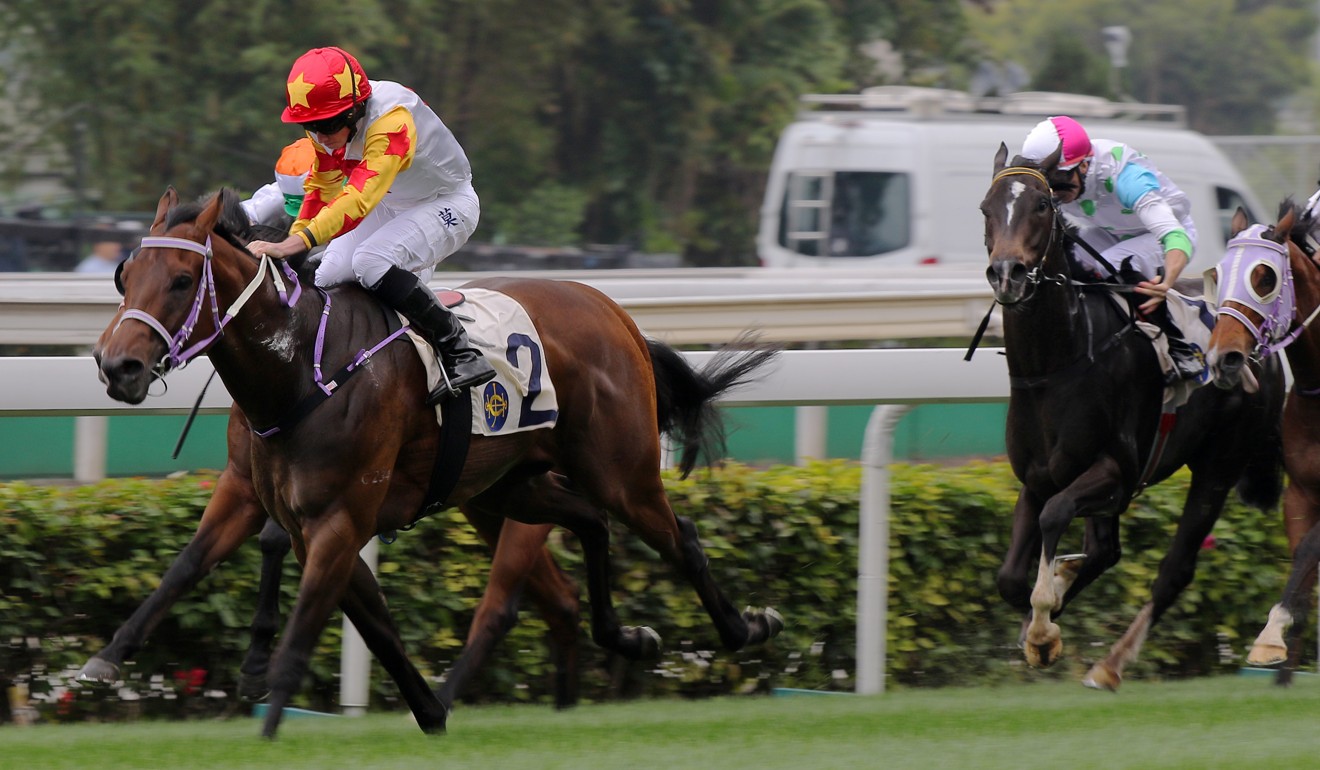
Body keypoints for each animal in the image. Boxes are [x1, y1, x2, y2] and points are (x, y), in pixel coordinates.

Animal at [95, 186, 781, 734]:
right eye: (125, 276)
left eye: (182, 281)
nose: (116, 365)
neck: (299, 368)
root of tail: (616, 313)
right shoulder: (259, 497)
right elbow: (197, 568)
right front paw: (108, 656)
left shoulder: (339, 518)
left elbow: (317, 617)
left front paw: (268, 701)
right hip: (508, 487)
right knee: (588, 530)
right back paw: (627, 637)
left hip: (620, 473)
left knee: (677, 538)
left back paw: (746, 628)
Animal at [987, 144, 1283, 692]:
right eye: (986, 209)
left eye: (1040, 205)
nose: (1007, 274)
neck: (1057, 363)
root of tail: (1258, 339)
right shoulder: (1036, 478)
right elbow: (1012, 578)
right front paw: (1045, 613)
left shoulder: (1115, 470)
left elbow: (1054, 514)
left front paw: (1044, 628)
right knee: (1106, 550)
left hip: (1219, 463)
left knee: (1175, 567)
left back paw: (1110, 664)